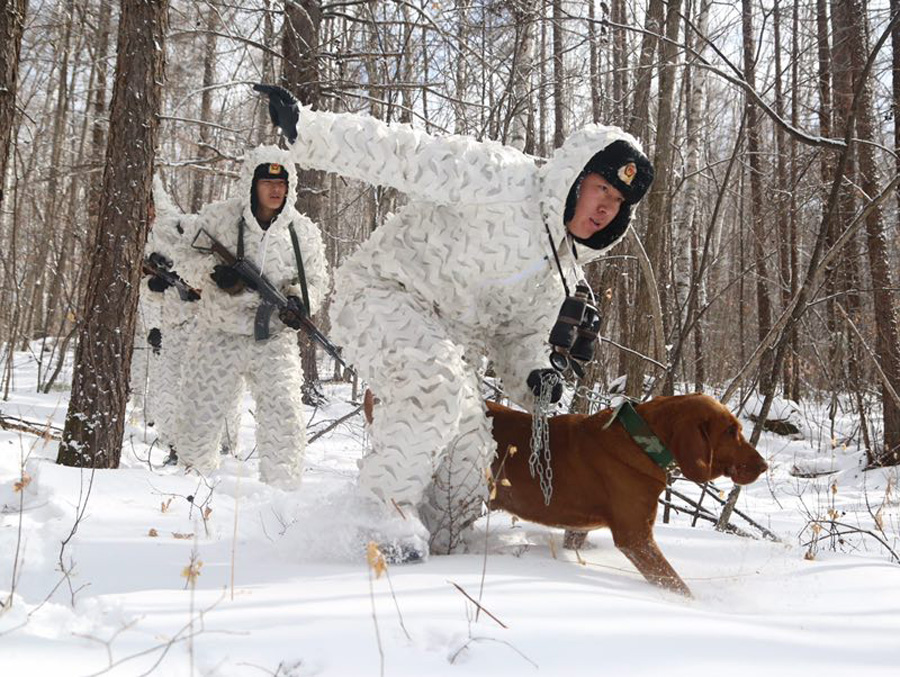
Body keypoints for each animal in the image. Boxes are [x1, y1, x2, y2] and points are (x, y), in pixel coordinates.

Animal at [488, 394, 768, 596]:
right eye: (730, 431)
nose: (764, 466)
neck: (642, 442)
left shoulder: (579, 530)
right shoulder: (636, 538)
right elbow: (676, 583)